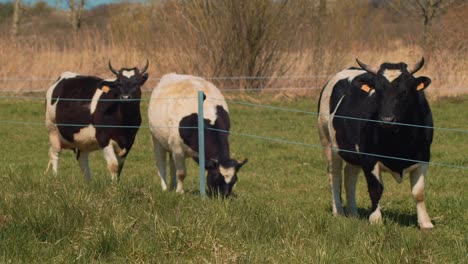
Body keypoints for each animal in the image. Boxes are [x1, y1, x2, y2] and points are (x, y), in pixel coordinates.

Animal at [318, 58, 436, 229]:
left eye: (404, 91)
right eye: (378, 91)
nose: (387, 120)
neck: (399, 139)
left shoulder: (423, 156)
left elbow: (418, 192)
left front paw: (425, 223)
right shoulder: (369, 158)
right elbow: (375, 189)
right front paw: (375, 219)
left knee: (350, 176)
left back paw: (353, 213)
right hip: (327, 141)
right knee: (334, 175)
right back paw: (338, 211)